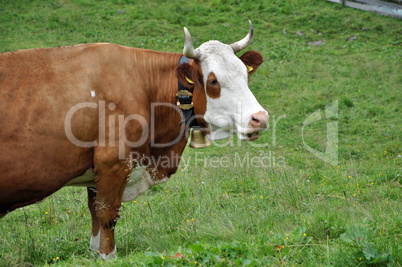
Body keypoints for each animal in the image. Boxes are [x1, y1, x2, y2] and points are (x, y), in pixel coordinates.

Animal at [0, 21, 270, 260]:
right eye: (213, 81)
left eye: (245, 75)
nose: (260, 118)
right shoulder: (113, 163)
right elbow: (107, 217)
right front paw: (107, 256)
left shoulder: (97, 174)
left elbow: (95, 218)